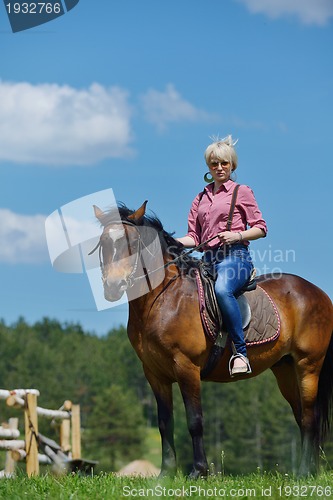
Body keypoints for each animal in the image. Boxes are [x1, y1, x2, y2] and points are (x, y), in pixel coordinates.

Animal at [90, 199, 332, 476]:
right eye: (103, 244)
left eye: (130, 243)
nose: (113, 286)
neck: (164, 299)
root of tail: (318, 292)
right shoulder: (154, 373)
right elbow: (164, 423)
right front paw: (166, 473)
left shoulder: (186, 367)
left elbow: (195, 420)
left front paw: (199, 471)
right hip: (285, 368)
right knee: (301, 416)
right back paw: (309, 470)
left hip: (308, 365)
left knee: (310, 417)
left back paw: (304, 472)